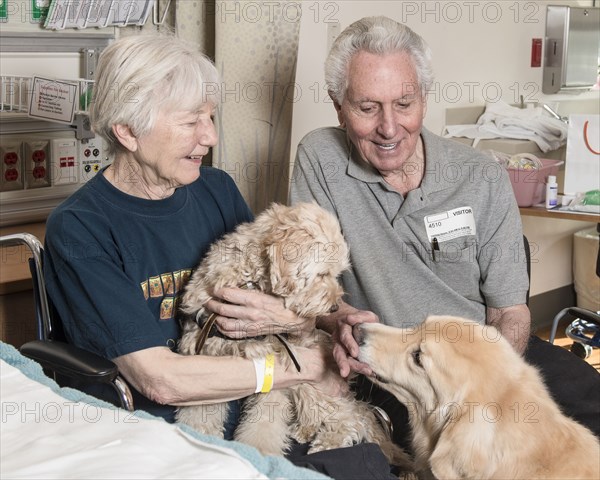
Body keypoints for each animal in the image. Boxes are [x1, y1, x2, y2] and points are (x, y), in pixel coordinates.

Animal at [176, 201, 406, 466]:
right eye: (323, 274)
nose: (334, 307)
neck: (251, 281)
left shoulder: (275, 376)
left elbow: (263, 428)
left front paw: (260, 456)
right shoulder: (206, 356)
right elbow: (197, 415)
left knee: (349, 415)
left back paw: (327, 440)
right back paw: (304, 430)